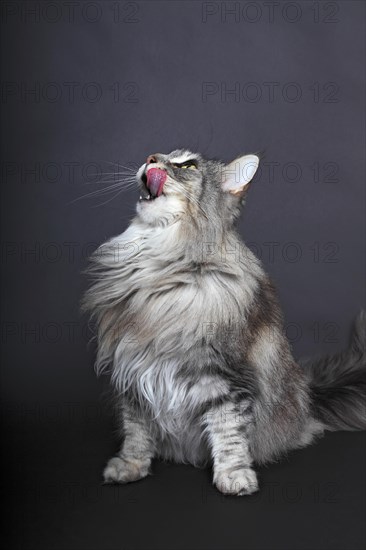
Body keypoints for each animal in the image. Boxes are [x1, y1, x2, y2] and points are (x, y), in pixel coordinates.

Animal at [83, 149, 366, 498]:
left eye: (188, 165)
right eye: (162, 155)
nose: (151, 158)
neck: (161, 263)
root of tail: (309, 395)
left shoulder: (225, 378)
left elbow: (228, 432)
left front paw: (234, 476)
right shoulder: (133, 371)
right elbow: (136, 432)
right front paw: (130, 467)